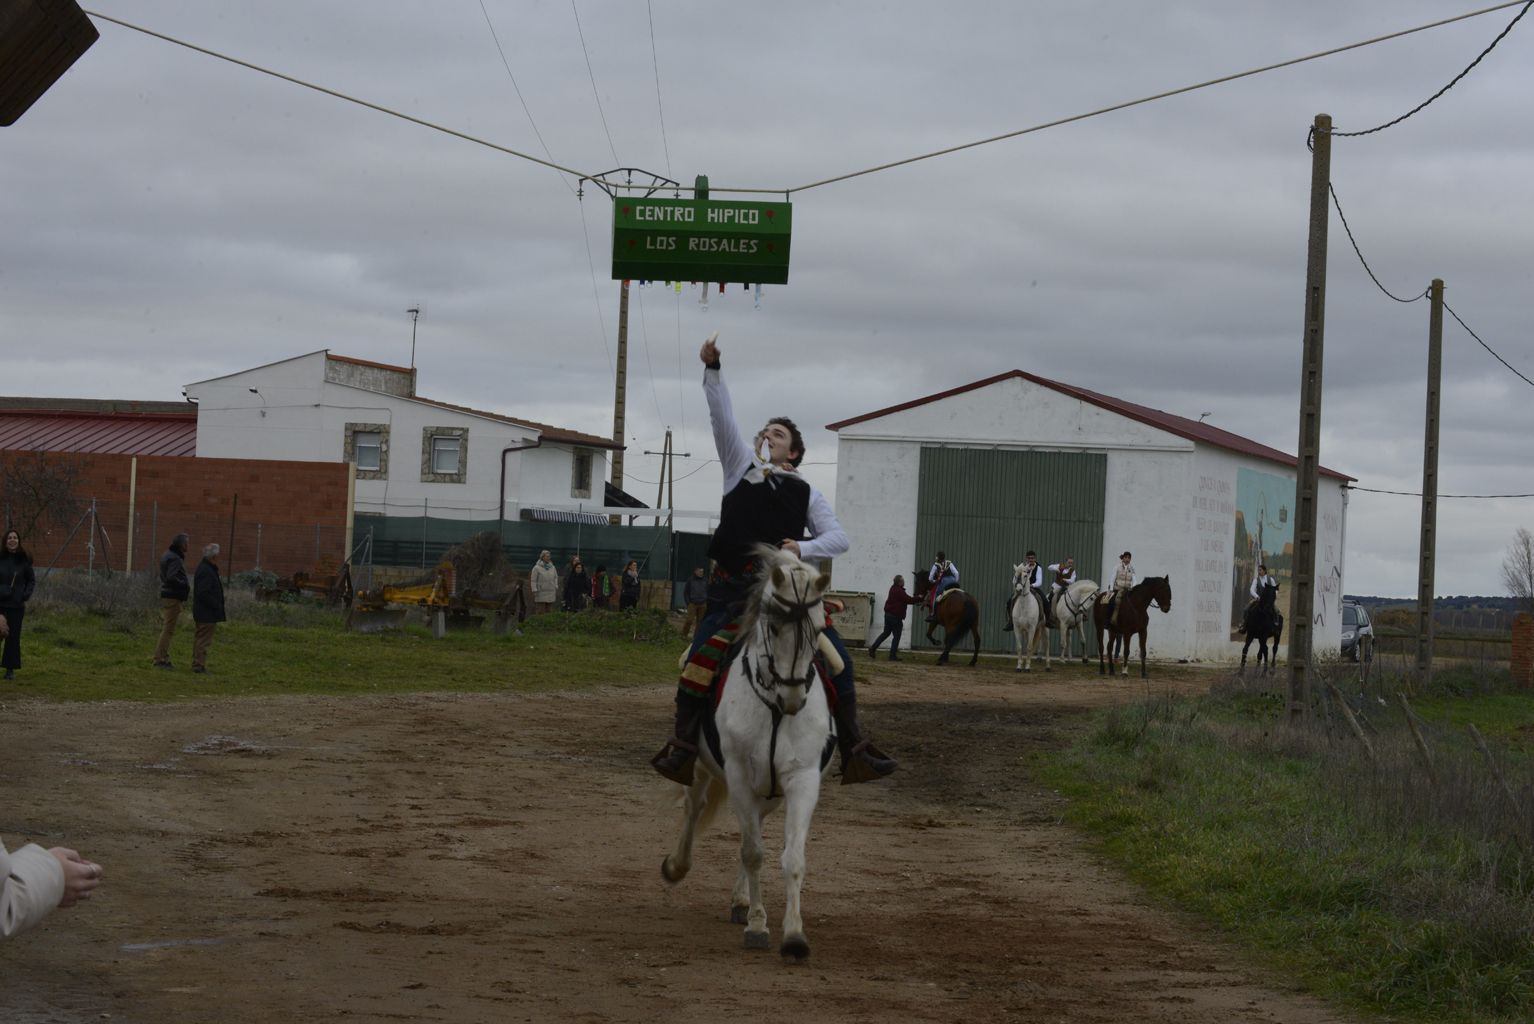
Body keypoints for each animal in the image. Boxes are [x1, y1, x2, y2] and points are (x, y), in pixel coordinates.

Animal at [656, 548, 834, 956]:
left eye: (819, 630)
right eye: (774, 628)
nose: (793, 698)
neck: (773, 709)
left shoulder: (801, 779)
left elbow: (792, 857)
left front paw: (793, 935)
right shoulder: (737, 773)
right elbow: (753, 853)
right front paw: (758, 926)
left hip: (767, 791)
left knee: (751, 828)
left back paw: (740, 901)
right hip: (703, 769)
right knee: (696, 810)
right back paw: (677, 866)